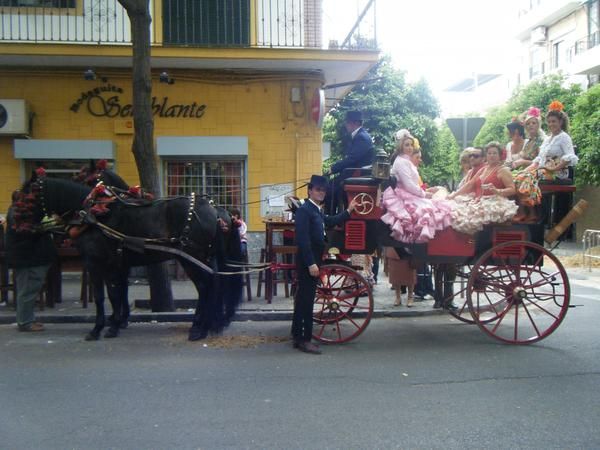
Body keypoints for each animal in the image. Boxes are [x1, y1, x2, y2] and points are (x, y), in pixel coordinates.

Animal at [15, 173, 243, 342]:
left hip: (192, 258)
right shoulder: (119, 264)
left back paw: (198, 328)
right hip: (202, 258)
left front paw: (100, 328)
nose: (17, 225)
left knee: (205, 287)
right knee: (212, 285)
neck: (94, 214)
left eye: (25, 197)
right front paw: (118, 321)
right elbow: (119, 292)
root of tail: (215, 209)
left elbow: (104, 296)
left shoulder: (97, 263)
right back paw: (209, 325)